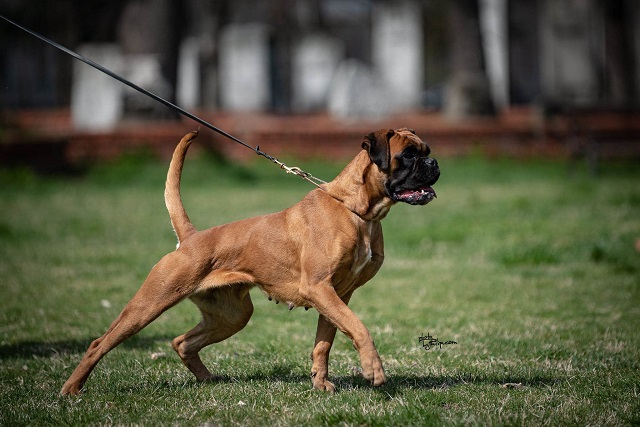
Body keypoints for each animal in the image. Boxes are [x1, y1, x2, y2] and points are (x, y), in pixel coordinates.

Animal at [60, 129, 440, 396]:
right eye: (408, 155)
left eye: (427, 152)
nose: (434, 164)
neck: (356, 209)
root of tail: (191, 238)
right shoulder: (320, 289)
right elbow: (359, 328)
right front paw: (373, 369)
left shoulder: (336, 296)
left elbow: (324, 342)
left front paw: (320, 384)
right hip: (148, 304)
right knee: (99, 344)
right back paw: (71, 389)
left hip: (232, 315)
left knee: (182, 342)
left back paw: (208, 380)